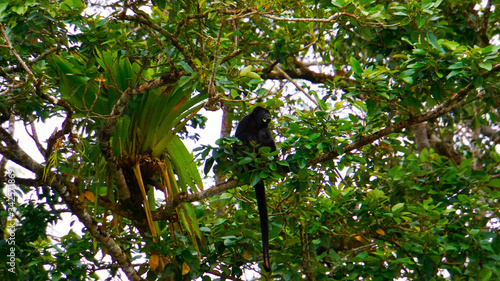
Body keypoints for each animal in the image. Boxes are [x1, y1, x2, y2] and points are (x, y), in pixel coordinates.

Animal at [235, 105, 278, 272]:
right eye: (264, 112)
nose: (268, 114)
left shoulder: (267, 127)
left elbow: (273, 147)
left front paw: (263, 135)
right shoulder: (245, 120)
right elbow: (239, 136)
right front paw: (249, 137)